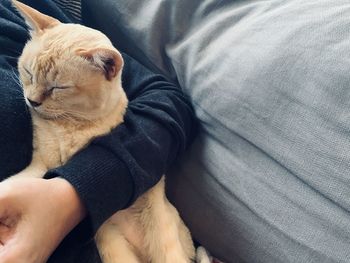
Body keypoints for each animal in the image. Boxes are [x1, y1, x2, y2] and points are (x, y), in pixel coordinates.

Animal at [11, 0, 197, 263]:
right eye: (28, 73)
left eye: (59, 88)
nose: (32, 101)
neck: (70, 125)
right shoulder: (41, 164)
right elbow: (18, 180)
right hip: (111, 243)